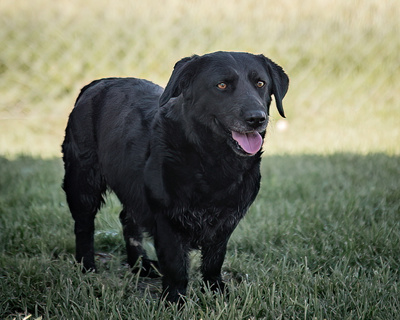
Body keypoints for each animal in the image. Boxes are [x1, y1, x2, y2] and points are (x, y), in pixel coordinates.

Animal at [61, 50, 288, 302]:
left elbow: (214, 260)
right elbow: (176, 266)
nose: (257, 118)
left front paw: (216, 290)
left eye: (260, 83)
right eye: (221, 85)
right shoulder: (167, 220)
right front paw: (174, 300)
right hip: (82, 181)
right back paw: (86, 267)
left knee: (128, 219)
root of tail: (96, 83)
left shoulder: (226, 222)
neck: (210, 162)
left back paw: (140, 265)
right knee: (84, 225)